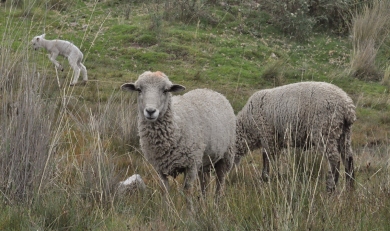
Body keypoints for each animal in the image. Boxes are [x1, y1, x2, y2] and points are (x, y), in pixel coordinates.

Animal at [122, 71, 236, 211]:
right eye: (139, 89)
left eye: (165, 90)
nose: (150, 111)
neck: (176, 125)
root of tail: (210, 90)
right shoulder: (160, 167)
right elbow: (165, 190)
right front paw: (166, 211)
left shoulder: (191, 164)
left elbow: (187, 190)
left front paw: (190, 213)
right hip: (204, 160)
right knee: (204, 182)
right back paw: (204, 204)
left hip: (226, 155)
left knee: (220, 181)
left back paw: (216, 205)